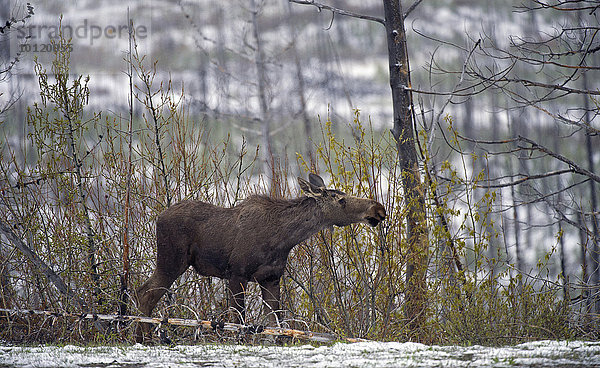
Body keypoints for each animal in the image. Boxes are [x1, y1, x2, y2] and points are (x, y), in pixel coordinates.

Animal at [137, 173, 386, 340]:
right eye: (340, 200)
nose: (378, 209)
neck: (283, 238)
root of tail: (158, 217)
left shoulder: (271, 278)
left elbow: (276, 326)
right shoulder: (236, 274)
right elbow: (238, 322)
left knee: (143, 292)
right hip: (171, 260)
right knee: (146, 293)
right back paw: (144, 339)